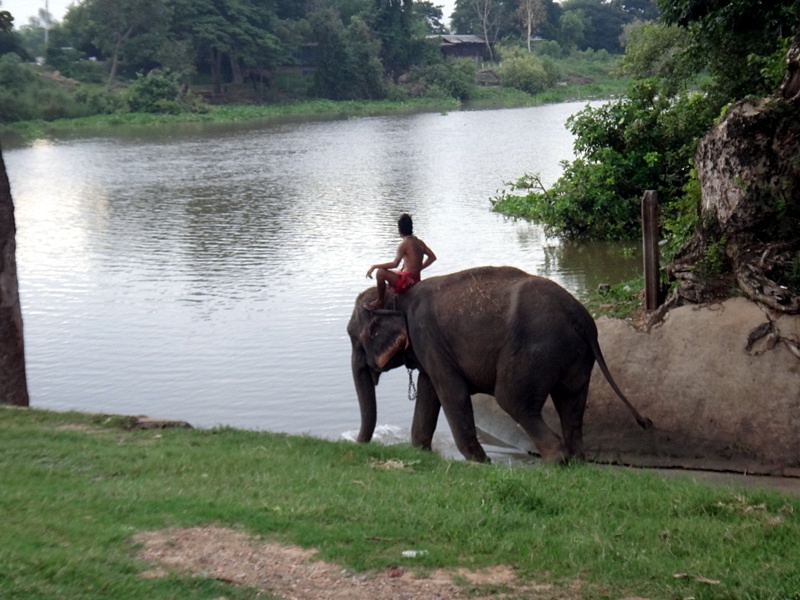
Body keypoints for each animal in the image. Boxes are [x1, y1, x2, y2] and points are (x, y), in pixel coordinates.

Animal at [346, 266, 652, 464]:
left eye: (354, 338)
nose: (355, 445)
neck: (398, 296)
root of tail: (582, 318)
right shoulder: (432, 348)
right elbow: (429, 393)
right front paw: (421, 451)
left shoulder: (428, 338)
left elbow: (452, 394)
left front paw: (480, 463)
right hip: (574, 356)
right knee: (572, 403)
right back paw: (576, 461)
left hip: (532, 351)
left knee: (513, 400)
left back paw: (555, 461)